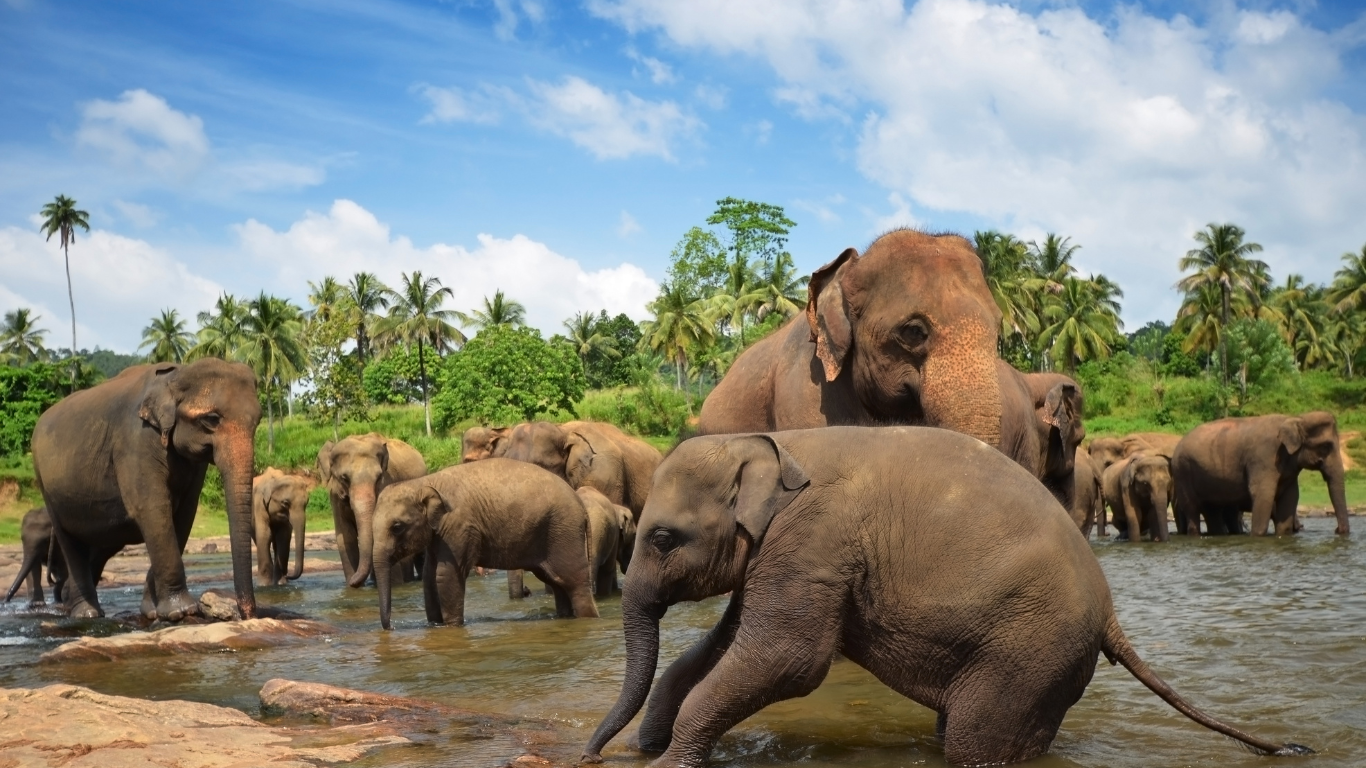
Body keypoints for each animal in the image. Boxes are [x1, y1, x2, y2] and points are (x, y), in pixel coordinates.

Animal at [31, 360, 260, 617]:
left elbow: (183, 516)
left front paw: (152, 612)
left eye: (259, 420)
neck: (176, 375)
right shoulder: (135, 441)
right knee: (70, 542)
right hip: (46, 486)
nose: (247, 614)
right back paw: (87, 614)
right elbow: (153, 510)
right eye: (211, 419)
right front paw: (181, 612)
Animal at [319, 431, 426, 584]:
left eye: (379, 477)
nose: (352, 581)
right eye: (344, 478)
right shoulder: (335, 496)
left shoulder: (387, 484)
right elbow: (346, 537)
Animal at [368, 453, 598, 628]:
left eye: (397, 527)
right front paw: (435, 625)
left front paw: (451, 627)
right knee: (557, 582)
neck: (424, 483)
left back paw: (588, 619)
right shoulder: (439, 533)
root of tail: (582, 506)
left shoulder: (459, 526)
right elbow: (428, 576)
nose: (390, 627)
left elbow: (446, 575)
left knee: (575, 582)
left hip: (564, 531)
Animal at [581, 426, 1305, 759]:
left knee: (973, 744)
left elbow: (788, 658)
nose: (589, 753)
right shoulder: (782, 555)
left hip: (1030, 647)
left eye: (663, 539)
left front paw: (668, 759)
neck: (772, 444)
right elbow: (726, 643)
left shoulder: (813, 542)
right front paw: (649, 747)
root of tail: (1109, 615)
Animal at [1169, 412, 1349, 532]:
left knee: (1212, 511)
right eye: (1326, 446)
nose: (1337, 530)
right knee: (1193, 509)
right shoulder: (1264, 459)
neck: (1295, 419)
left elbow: (1290, 497)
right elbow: (1263, 494)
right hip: (1182, 472)